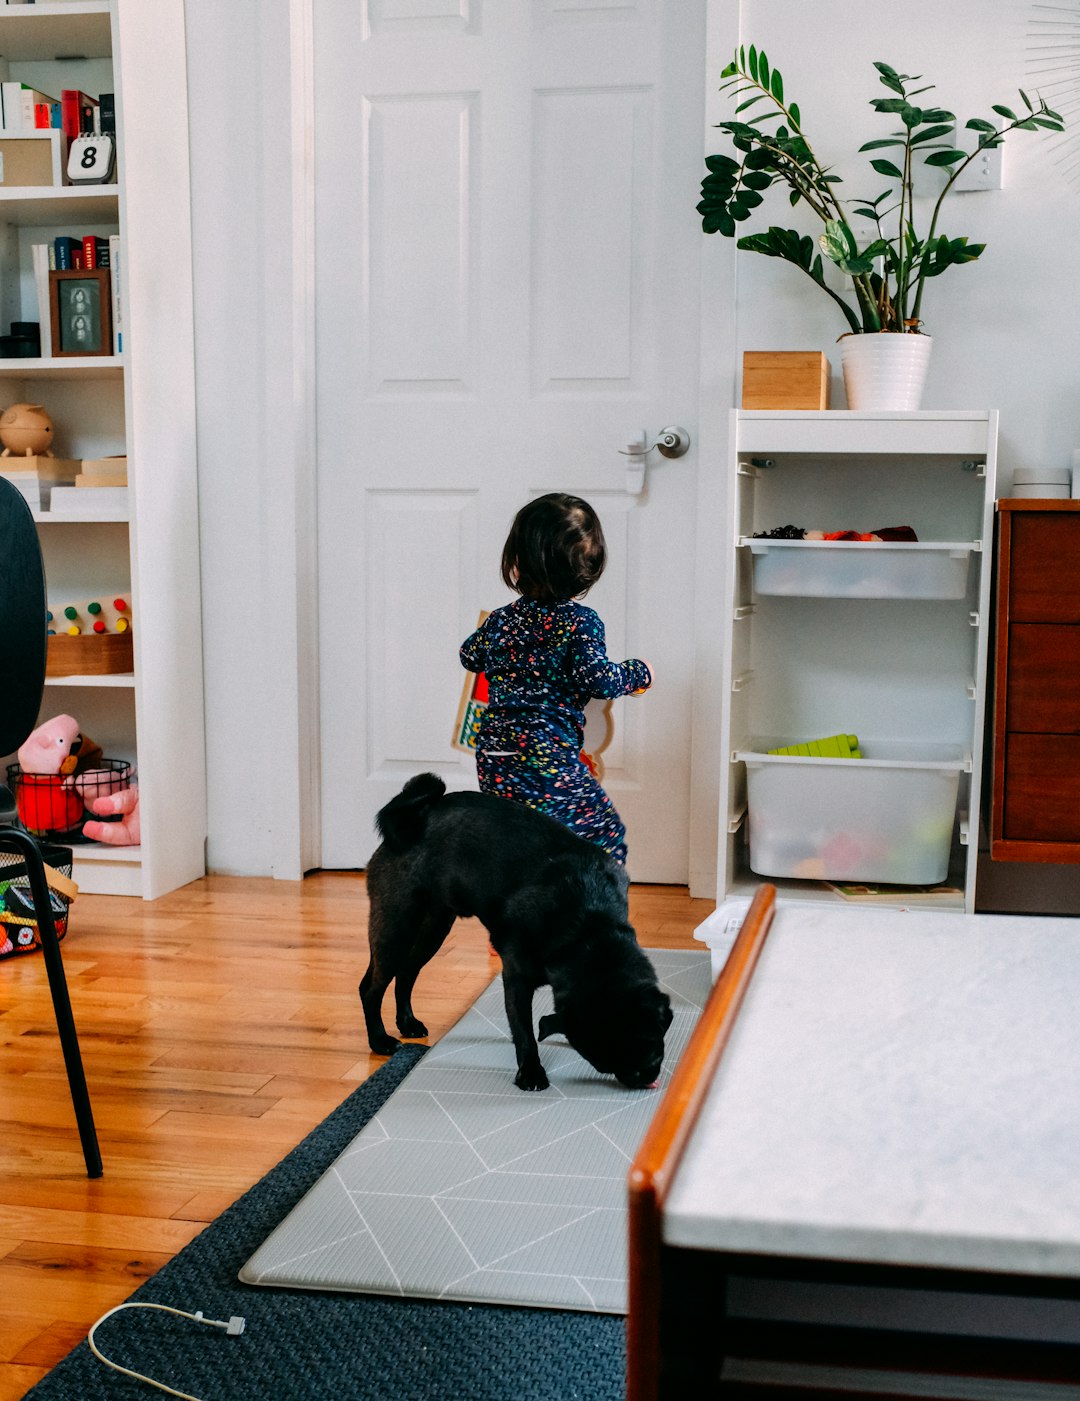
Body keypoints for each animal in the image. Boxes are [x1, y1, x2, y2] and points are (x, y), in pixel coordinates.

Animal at [358, 773, 672, 1087]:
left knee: (406, 974)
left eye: (654, 1053)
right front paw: (531, 1071)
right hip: (396, 927)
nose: (641, 1079)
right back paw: (380, 1040)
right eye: (601, 1064)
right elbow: (524, 1033)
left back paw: (407, 1023)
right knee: (371, 987)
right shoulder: (517, 980)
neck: (589, 930)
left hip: (432, 929)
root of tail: (415, 820)